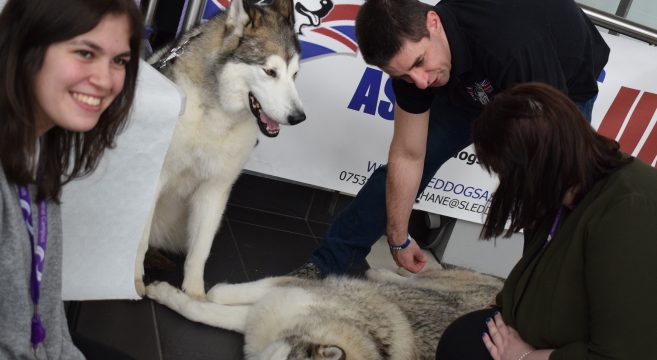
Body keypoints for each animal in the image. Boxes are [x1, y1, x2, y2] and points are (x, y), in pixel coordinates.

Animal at [135, 0, 308, 298]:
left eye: (294, 74)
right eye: (270, 72)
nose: (299, 117)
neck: (217, 115)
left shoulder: (215, 188)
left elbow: (200, 251)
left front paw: (194, 297)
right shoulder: (154, 178)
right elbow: (139, 241)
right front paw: (133, 280)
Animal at [146, 268, 500, 358]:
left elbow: (201, 310)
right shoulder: (288, 294)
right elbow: (214, 297)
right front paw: (165, 291)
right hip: (440, 281)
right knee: (417, 275)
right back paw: (382, 272)